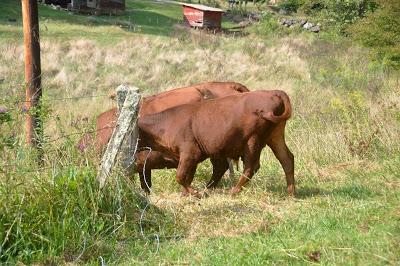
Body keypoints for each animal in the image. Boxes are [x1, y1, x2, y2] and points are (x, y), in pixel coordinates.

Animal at [138, 90, 294, 196]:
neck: (165, 124)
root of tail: (274, 92)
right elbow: (187, 176)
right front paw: (188, 194)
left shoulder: (190, 152)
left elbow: (180, 176)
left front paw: (195, 193)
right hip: (275, 136)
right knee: (287, 158)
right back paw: (291, 193)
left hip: (253, 139)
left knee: (251, 166)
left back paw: (233, 191)